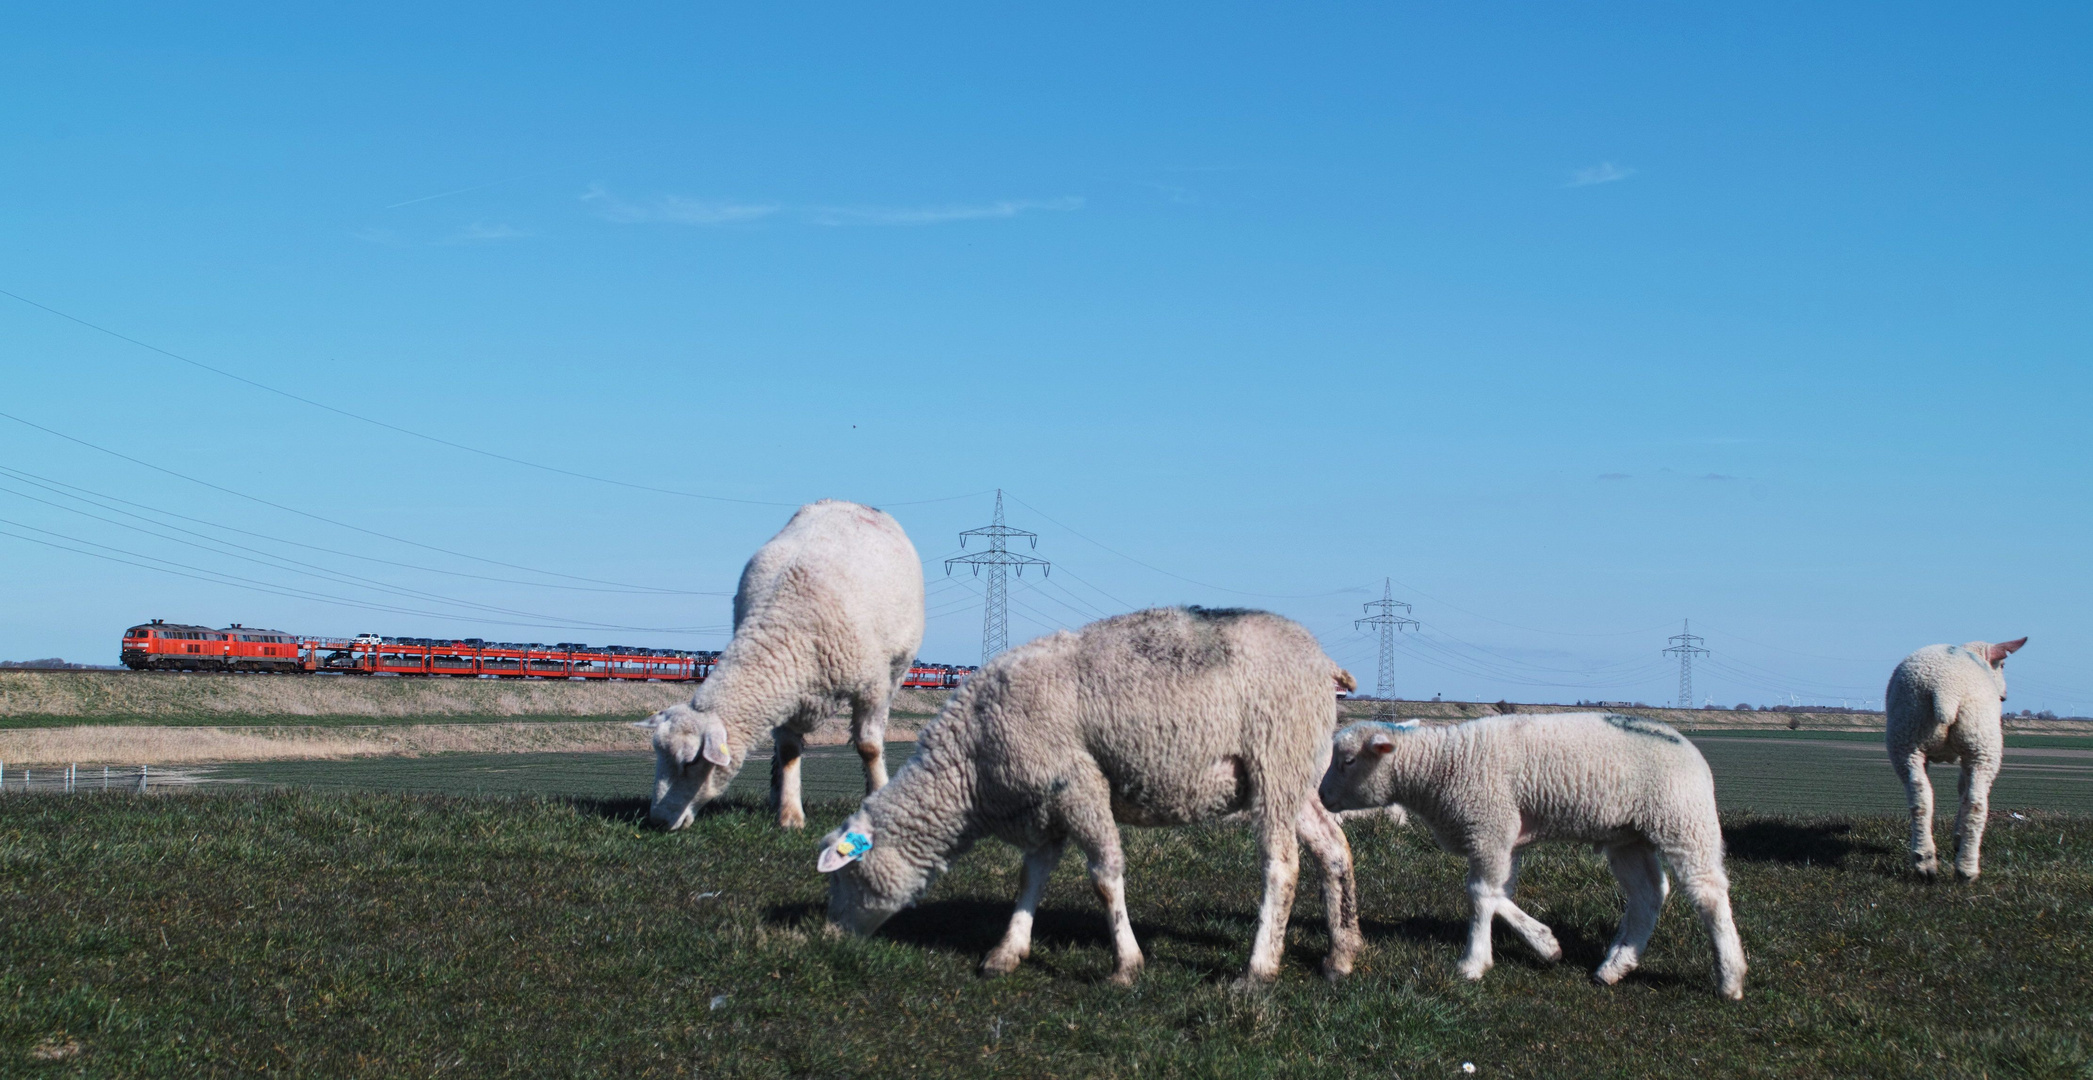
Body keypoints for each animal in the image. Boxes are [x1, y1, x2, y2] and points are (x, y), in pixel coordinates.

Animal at [644, 502, 925, 833]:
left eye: (690, 761)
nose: (658, 821)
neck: (784, 624)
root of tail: (850, 503)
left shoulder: (872, 688)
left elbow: (869, 746)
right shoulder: (785, 691)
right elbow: (788, 751)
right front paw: (790, 815)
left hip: (896, 669)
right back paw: (774, 795)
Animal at [816, 606, 1373, 987]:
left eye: (845, 876)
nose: (827, 942)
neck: (970, 769)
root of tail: (1323, 662)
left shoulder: (1079, 784)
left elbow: (1105, 878)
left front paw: (1126, 965)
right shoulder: (1045, 806)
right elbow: (1030, 880)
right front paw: (1007, 952)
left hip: (1275, 759)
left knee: (1282, 866)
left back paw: (1257, 971)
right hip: (1295, 774)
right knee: (1333, 848)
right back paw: (1341, 955)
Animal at [1322, 711, 1749, 1000]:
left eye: (1347, 761)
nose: (1322, 797)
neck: (1441, 766)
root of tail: (1688, 746)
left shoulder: (1490, 826)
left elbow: (1480, 894)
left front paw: (1473, 962)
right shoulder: (1504, 837)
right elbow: (1498, 894)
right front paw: (1546, 944)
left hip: (1683, 821)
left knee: (1708, 894)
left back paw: (1730, 978)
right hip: (1629, 837)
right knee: (1648, 894)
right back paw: (1615, 965)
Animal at [1892, 636, 2017, 883]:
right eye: (2003, 665)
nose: (2004, 696)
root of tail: (1945, 688)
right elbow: (1962, 788)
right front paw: (1958, 837)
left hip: (1907, 736)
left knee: (1920, 798)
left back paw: (1924, 862)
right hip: (1982, 744)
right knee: (1976, 802)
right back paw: (1966, 869)